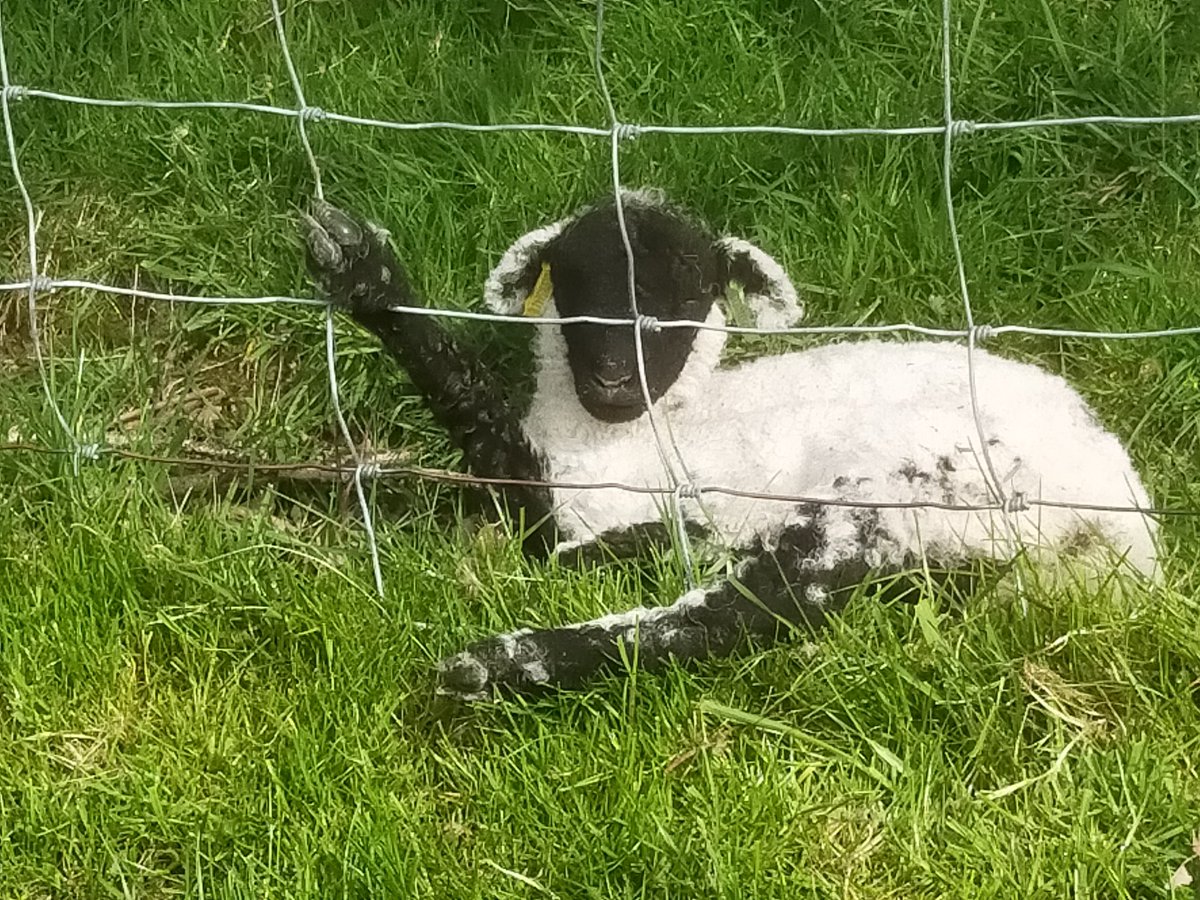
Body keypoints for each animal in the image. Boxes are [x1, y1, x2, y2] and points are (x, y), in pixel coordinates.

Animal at [302, 190, 1161, 705]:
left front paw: (366, 269)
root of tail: (1123, 531)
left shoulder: (569, 492)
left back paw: (506, 660)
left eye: (689, 292)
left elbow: (491, 441)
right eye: (571, 285)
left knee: (740, 613)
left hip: (904, 490)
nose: (614, 377)